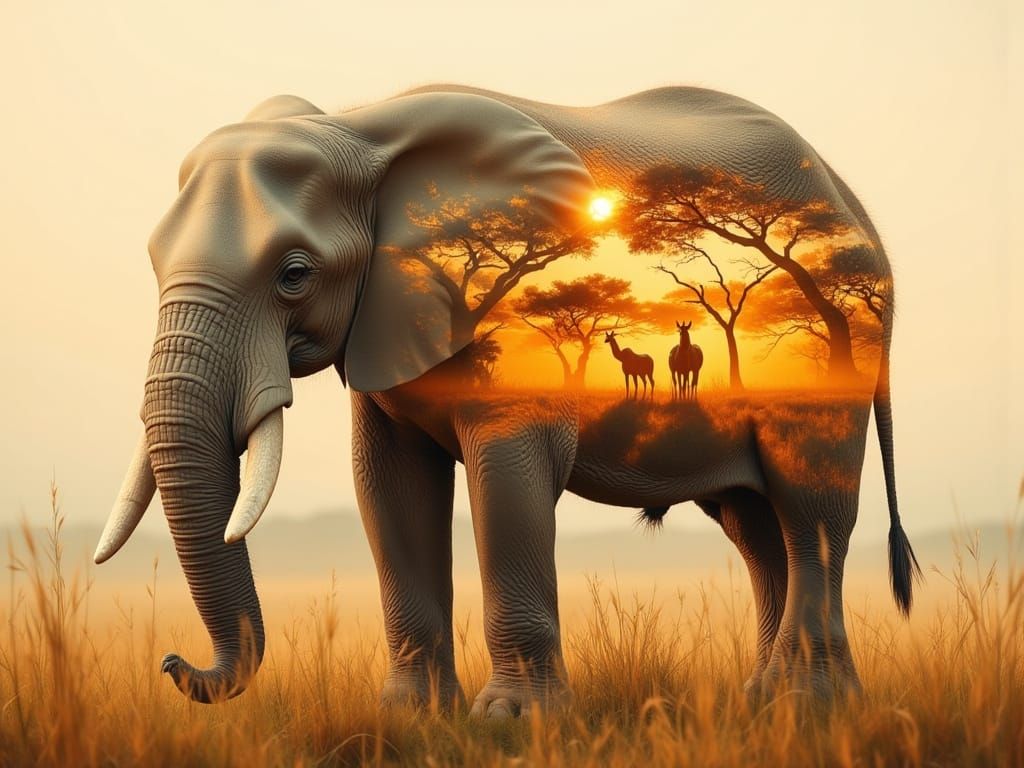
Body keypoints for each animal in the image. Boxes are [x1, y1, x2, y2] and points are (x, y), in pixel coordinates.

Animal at [94, 84, 920, 715]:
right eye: (153, 261)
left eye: (294, 274)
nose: (172, 662)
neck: (360, 129)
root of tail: (852, 201)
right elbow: (389, 488)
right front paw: (411, 720)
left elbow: (511, 480)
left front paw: (511, 722)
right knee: (756, 529)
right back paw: (765, 703)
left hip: (834, 353)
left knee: (810, 513)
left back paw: (809, 707)